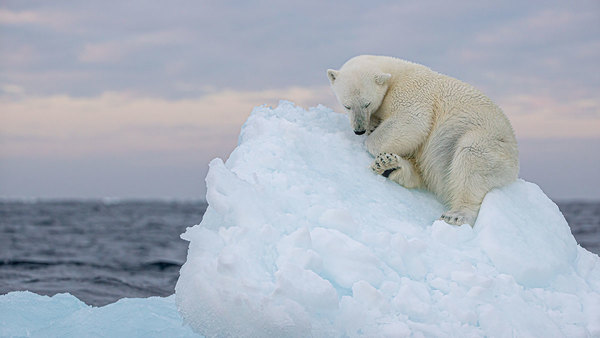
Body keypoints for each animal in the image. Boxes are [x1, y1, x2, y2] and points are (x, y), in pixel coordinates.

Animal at [326, 54, 516, 226]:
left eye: (367, 103)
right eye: (346, 105)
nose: (359, 130)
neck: (394, 73)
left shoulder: (410, 93)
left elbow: (412, 122)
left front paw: (371, 139)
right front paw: (373, 127)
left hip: (489, 141)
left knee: (471, 158)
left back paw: (456, 215)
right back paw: (389, 165)